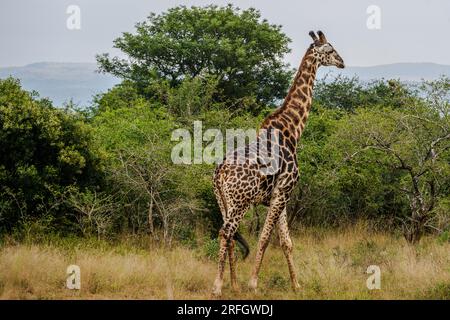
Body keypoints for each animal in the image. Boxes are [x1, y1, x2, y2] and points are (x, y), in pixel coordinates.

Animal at [211, 31, 344, 296]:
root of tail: (219, 172)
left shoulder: (281, 195)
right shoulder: (283, 191)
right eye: (330, 49)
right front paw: (253, 283)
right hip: (240, 202)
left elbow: (286, 242)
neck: (292, 131)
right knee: (226, 232)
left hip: (223, 201)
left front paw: (296, 284)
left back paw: (234, 284)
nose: (342, 62)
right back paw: (218, 286)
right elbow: (264, 237)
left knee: (229, 235)